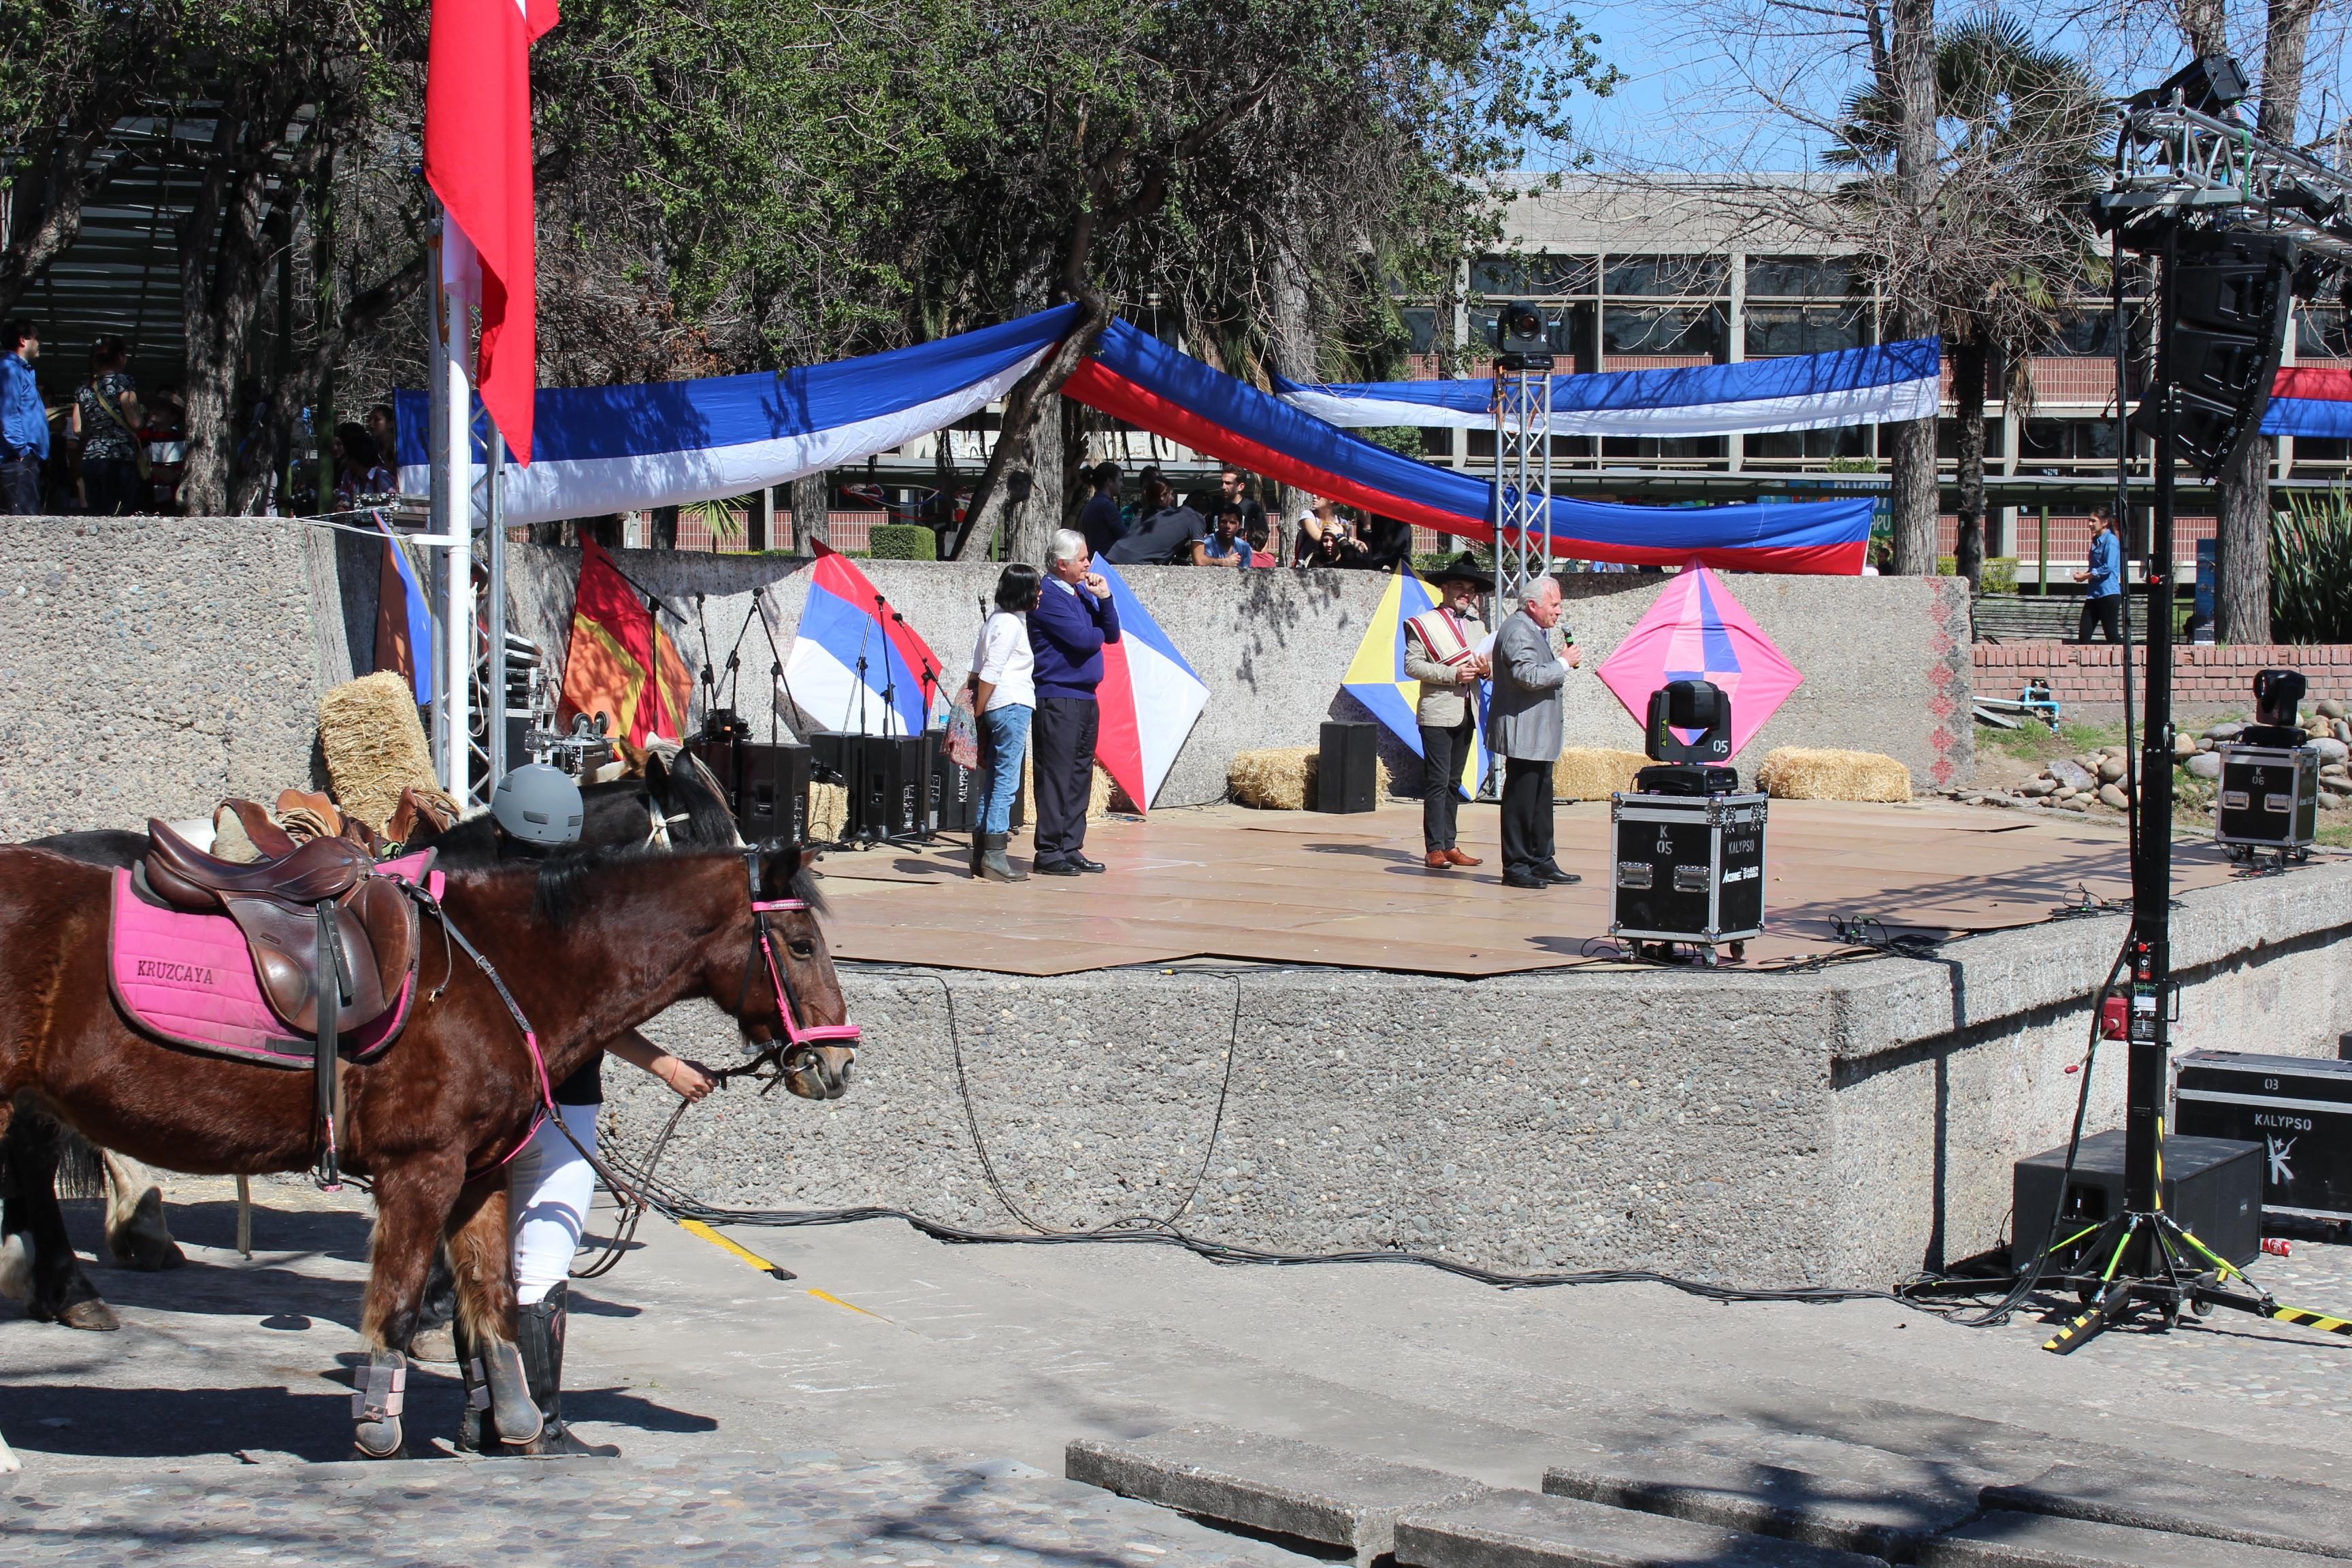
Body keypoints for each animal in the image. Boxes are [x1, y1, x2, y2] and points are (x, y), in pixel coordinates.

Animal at [0, 846, 855, 1457]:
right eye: (800, 944)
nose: (838, 1062)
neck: (498, 969)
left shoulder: (479, 1171)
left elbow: (493, 1296)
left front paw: (515, 1421)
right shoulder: (423, 1167)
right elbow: (402, 1293)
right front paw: (380, 1424)